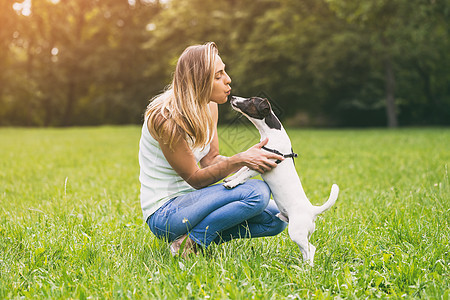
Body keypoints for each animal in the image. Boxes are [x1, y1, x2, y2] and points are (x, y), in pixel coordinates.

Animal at [223, 95, 340, 264]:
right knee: (306, 250)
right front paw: (230, 178)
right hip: (299, 233)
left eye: (251, 100)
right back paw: (302, 266)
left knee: (311, 249)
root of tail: (312, 211)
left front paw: (232, 184)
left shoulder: (261, 165)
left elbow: (245, 174)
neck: (270, 134)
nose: (232, 96)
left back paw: (308, 268)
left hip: (296, 232)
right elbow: (242, 169)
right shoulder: (255, 158)